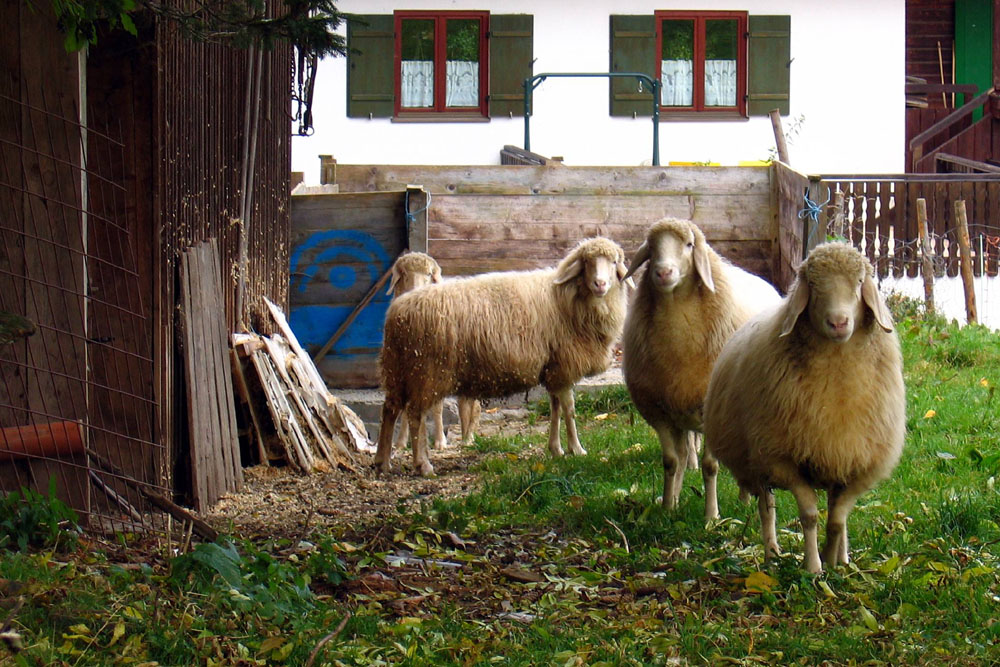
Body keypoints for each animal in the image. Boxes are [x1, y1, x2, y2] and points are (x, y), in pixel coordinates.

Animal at [382, 253, 480, 452]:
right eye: (404, 274)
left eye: (429, 274)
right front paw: (401, 442)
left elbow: (437, 406)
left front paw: (440, 441)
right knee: (464, 402)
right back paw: (465, 436)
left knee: (472, 403)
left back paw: (468, 438)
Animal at [620, 217, 784, 508]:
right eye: (651, 247)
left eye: (689, 244)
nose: (663, 273)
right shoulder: (659, 411)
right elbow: (670, 461)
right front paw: (667, 507)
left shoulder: (708, 411)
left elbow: (710, 466)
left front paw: (712, 514)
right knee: (684, 454)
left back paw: (744, 501)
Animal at [704, 244, 908, 576]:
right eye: (812, 284)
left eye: (859, 282)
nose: (838, 323)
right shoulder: (783, 460)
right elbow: (810, 517)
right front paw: (814, 567)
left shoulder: (856, 462)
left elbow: (837, 521)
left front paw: (834, 563)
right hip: (758, 462)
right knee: (767, 509)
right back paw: (771, 553)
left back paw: (843, 557)